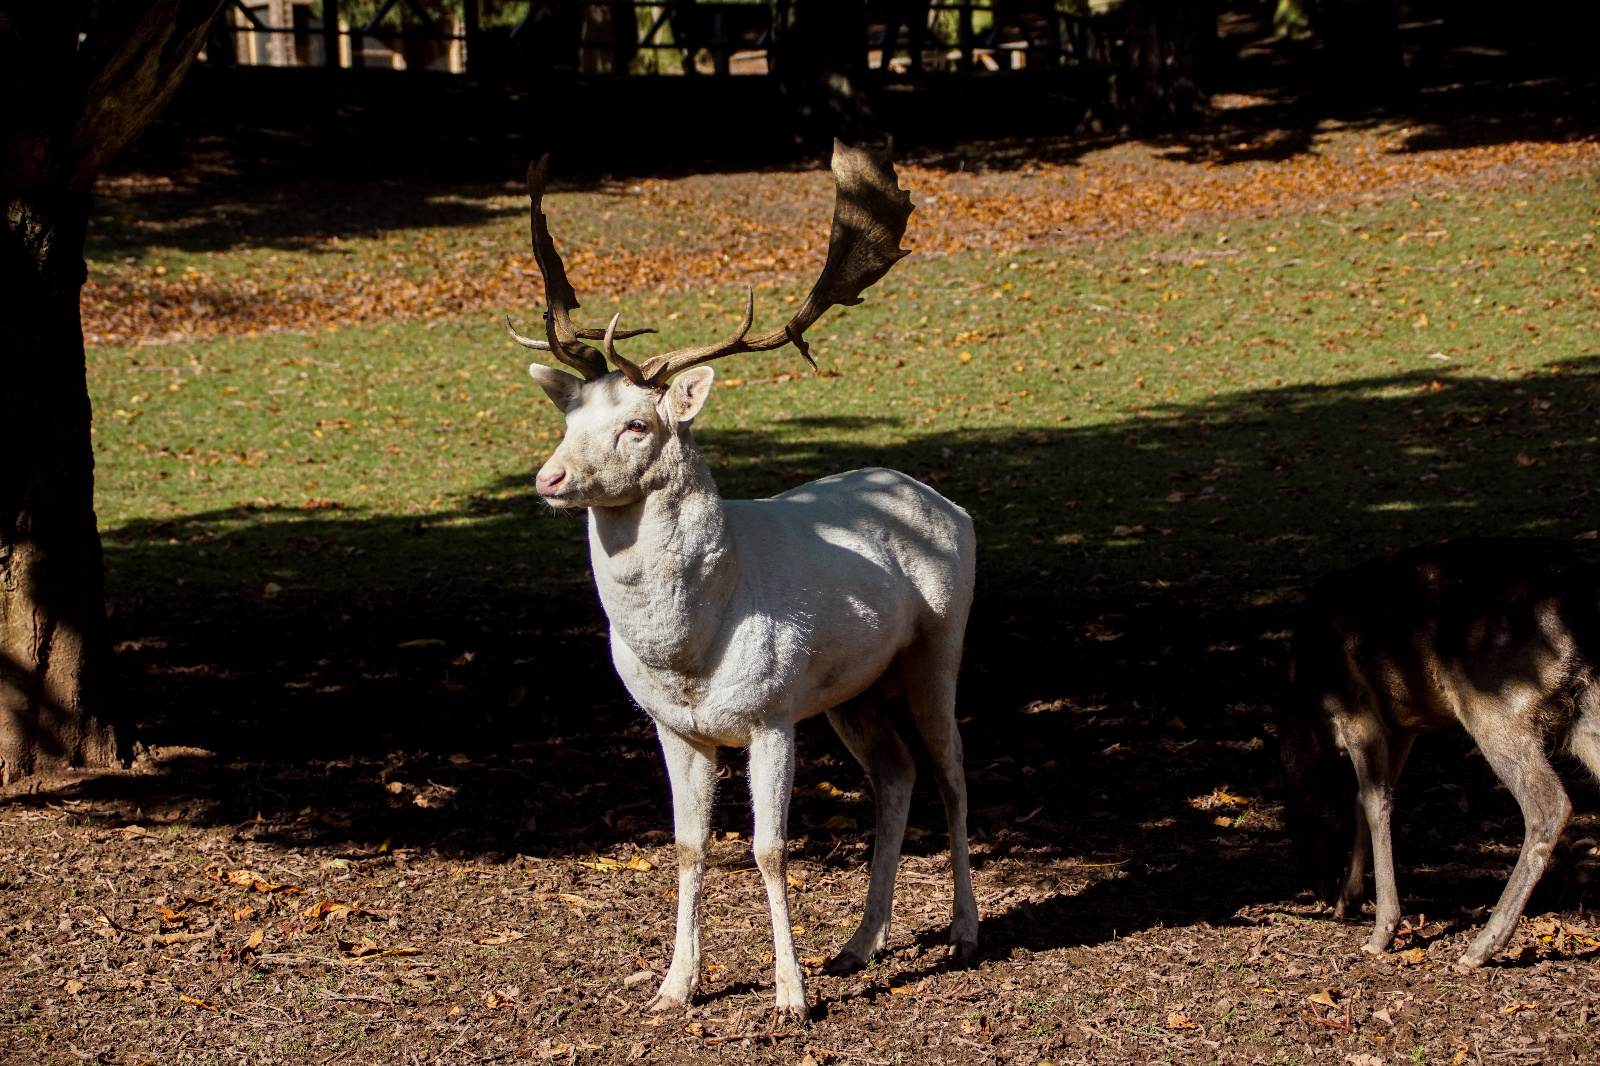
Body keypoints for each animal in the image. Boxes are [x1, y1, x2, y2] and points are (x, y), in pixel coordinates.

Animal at [504, 142, 978, 1018]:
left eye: (638, 424)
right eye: (569, 416)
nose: (549, 478)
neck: (691, 648)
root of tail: (950, 504)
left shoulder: (770, 714)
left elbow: (768, 849)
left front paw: (790, 996)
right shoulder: (673, 725)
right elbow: (691, 847)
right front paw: (674, 988)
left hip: (939, 644)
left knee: (951, 772)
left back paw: (963, 933)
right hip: (851, 689)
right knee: (894, 772)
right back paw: (859, 945)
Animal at [1279, 537, 1600, 969]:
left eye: (1296, 823)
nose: (1322, 890)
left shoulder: (1356, 708)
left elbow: (1375, 804)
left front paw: (1382, 930)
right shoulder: (1402, 727)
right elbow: (1365, 799)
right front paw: (1350, 902)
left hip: (1495, 703)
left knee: (1549, 804)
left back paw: (1482, 945)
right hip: (1583, 710)